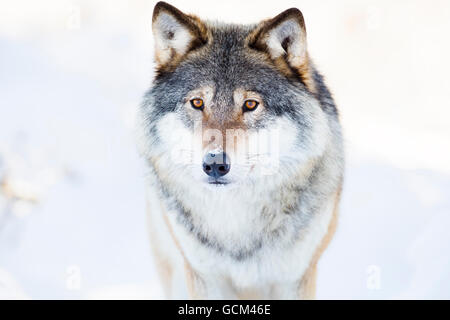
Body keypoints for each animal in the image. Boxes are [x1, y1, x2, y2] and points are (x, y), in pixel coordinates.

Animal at [138, 1, 344, 298]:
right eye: (197, 103)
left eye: (250, 104)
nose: (214, 164)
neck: (236, 222)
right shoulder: (204, 278)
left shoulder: (294, 279)